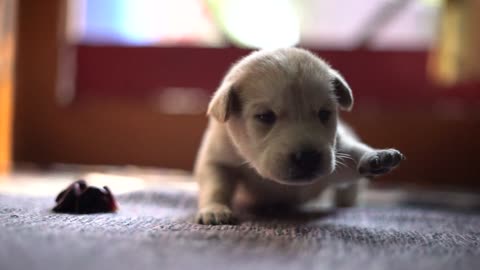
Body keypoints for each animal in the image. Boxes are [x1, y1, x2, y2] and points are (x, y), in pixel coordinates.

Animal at [193, 47, 404, 225]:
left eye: (324, 114)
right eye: (265, 116)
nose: (308, 157)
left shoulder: (335, 153)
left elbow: (351, 156)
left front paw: (375, 157)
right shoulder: (218, 158)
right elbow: (215, 184)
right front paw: (215, 209)